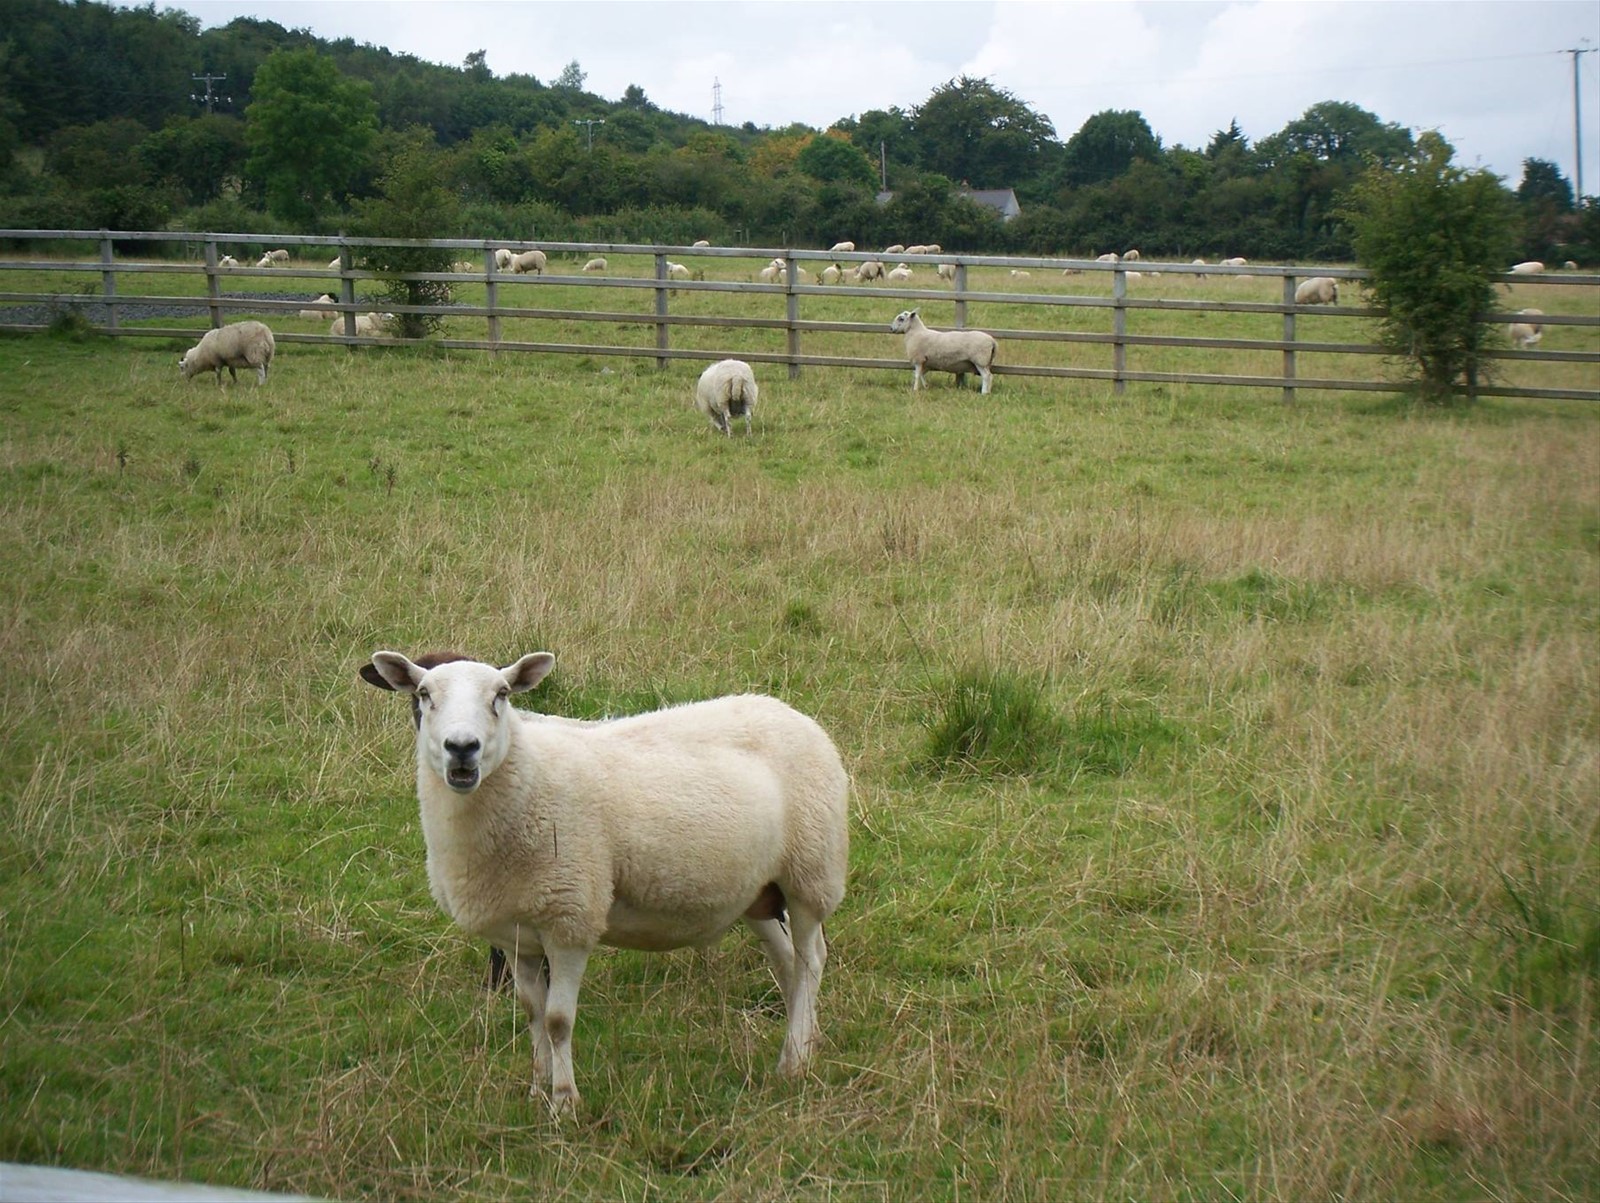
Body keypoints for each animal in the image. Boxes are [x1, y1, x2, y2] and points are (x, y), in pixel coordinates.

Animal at [362, 651, 849, 1113]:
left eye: (501, 694)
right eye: (423, 694)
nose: (462, 747)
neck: (529, 774)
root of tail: (788, 710)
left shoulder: (570, 918)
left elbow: (557, 1020)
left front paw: (564, 1101)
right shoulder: (516, 933)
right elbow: (531, 1012)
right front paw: (537, 1088)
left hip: (811, 872)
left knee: (811, 960)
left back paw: (794, 1062)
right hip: (756, 891)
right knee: (787, 963)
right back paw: (806, 1043)